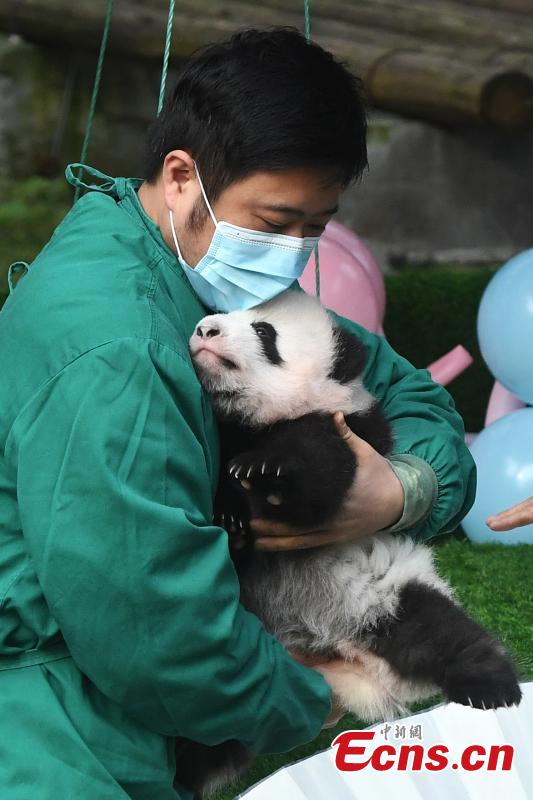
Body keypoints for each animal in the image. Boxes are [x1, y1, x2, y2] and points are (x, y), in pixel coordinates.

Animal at [174, 287, 521, 798]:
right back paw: (187, 768)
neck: (257, 421)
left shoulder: (355, 430)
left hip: (388, 590)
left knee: (440, 631)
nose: (205, 329)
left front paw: (265, 469)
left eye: (263, 331)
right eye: (220, 311)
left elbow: (319, 469)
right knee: (211, 732)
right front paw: (231, 516)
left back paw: (494, 687)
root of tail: (353, 665)